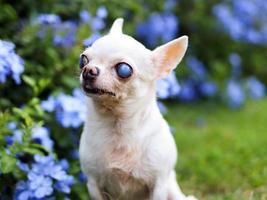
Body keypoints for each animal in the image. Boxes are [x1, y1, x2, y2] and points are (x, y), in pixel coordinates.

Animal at [79, 18, 197, 200]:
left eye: (124, 69)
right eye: (83, 60)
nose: (87, 70)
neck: (117, 125)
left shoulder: (159, 185)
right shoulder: (93, 184)